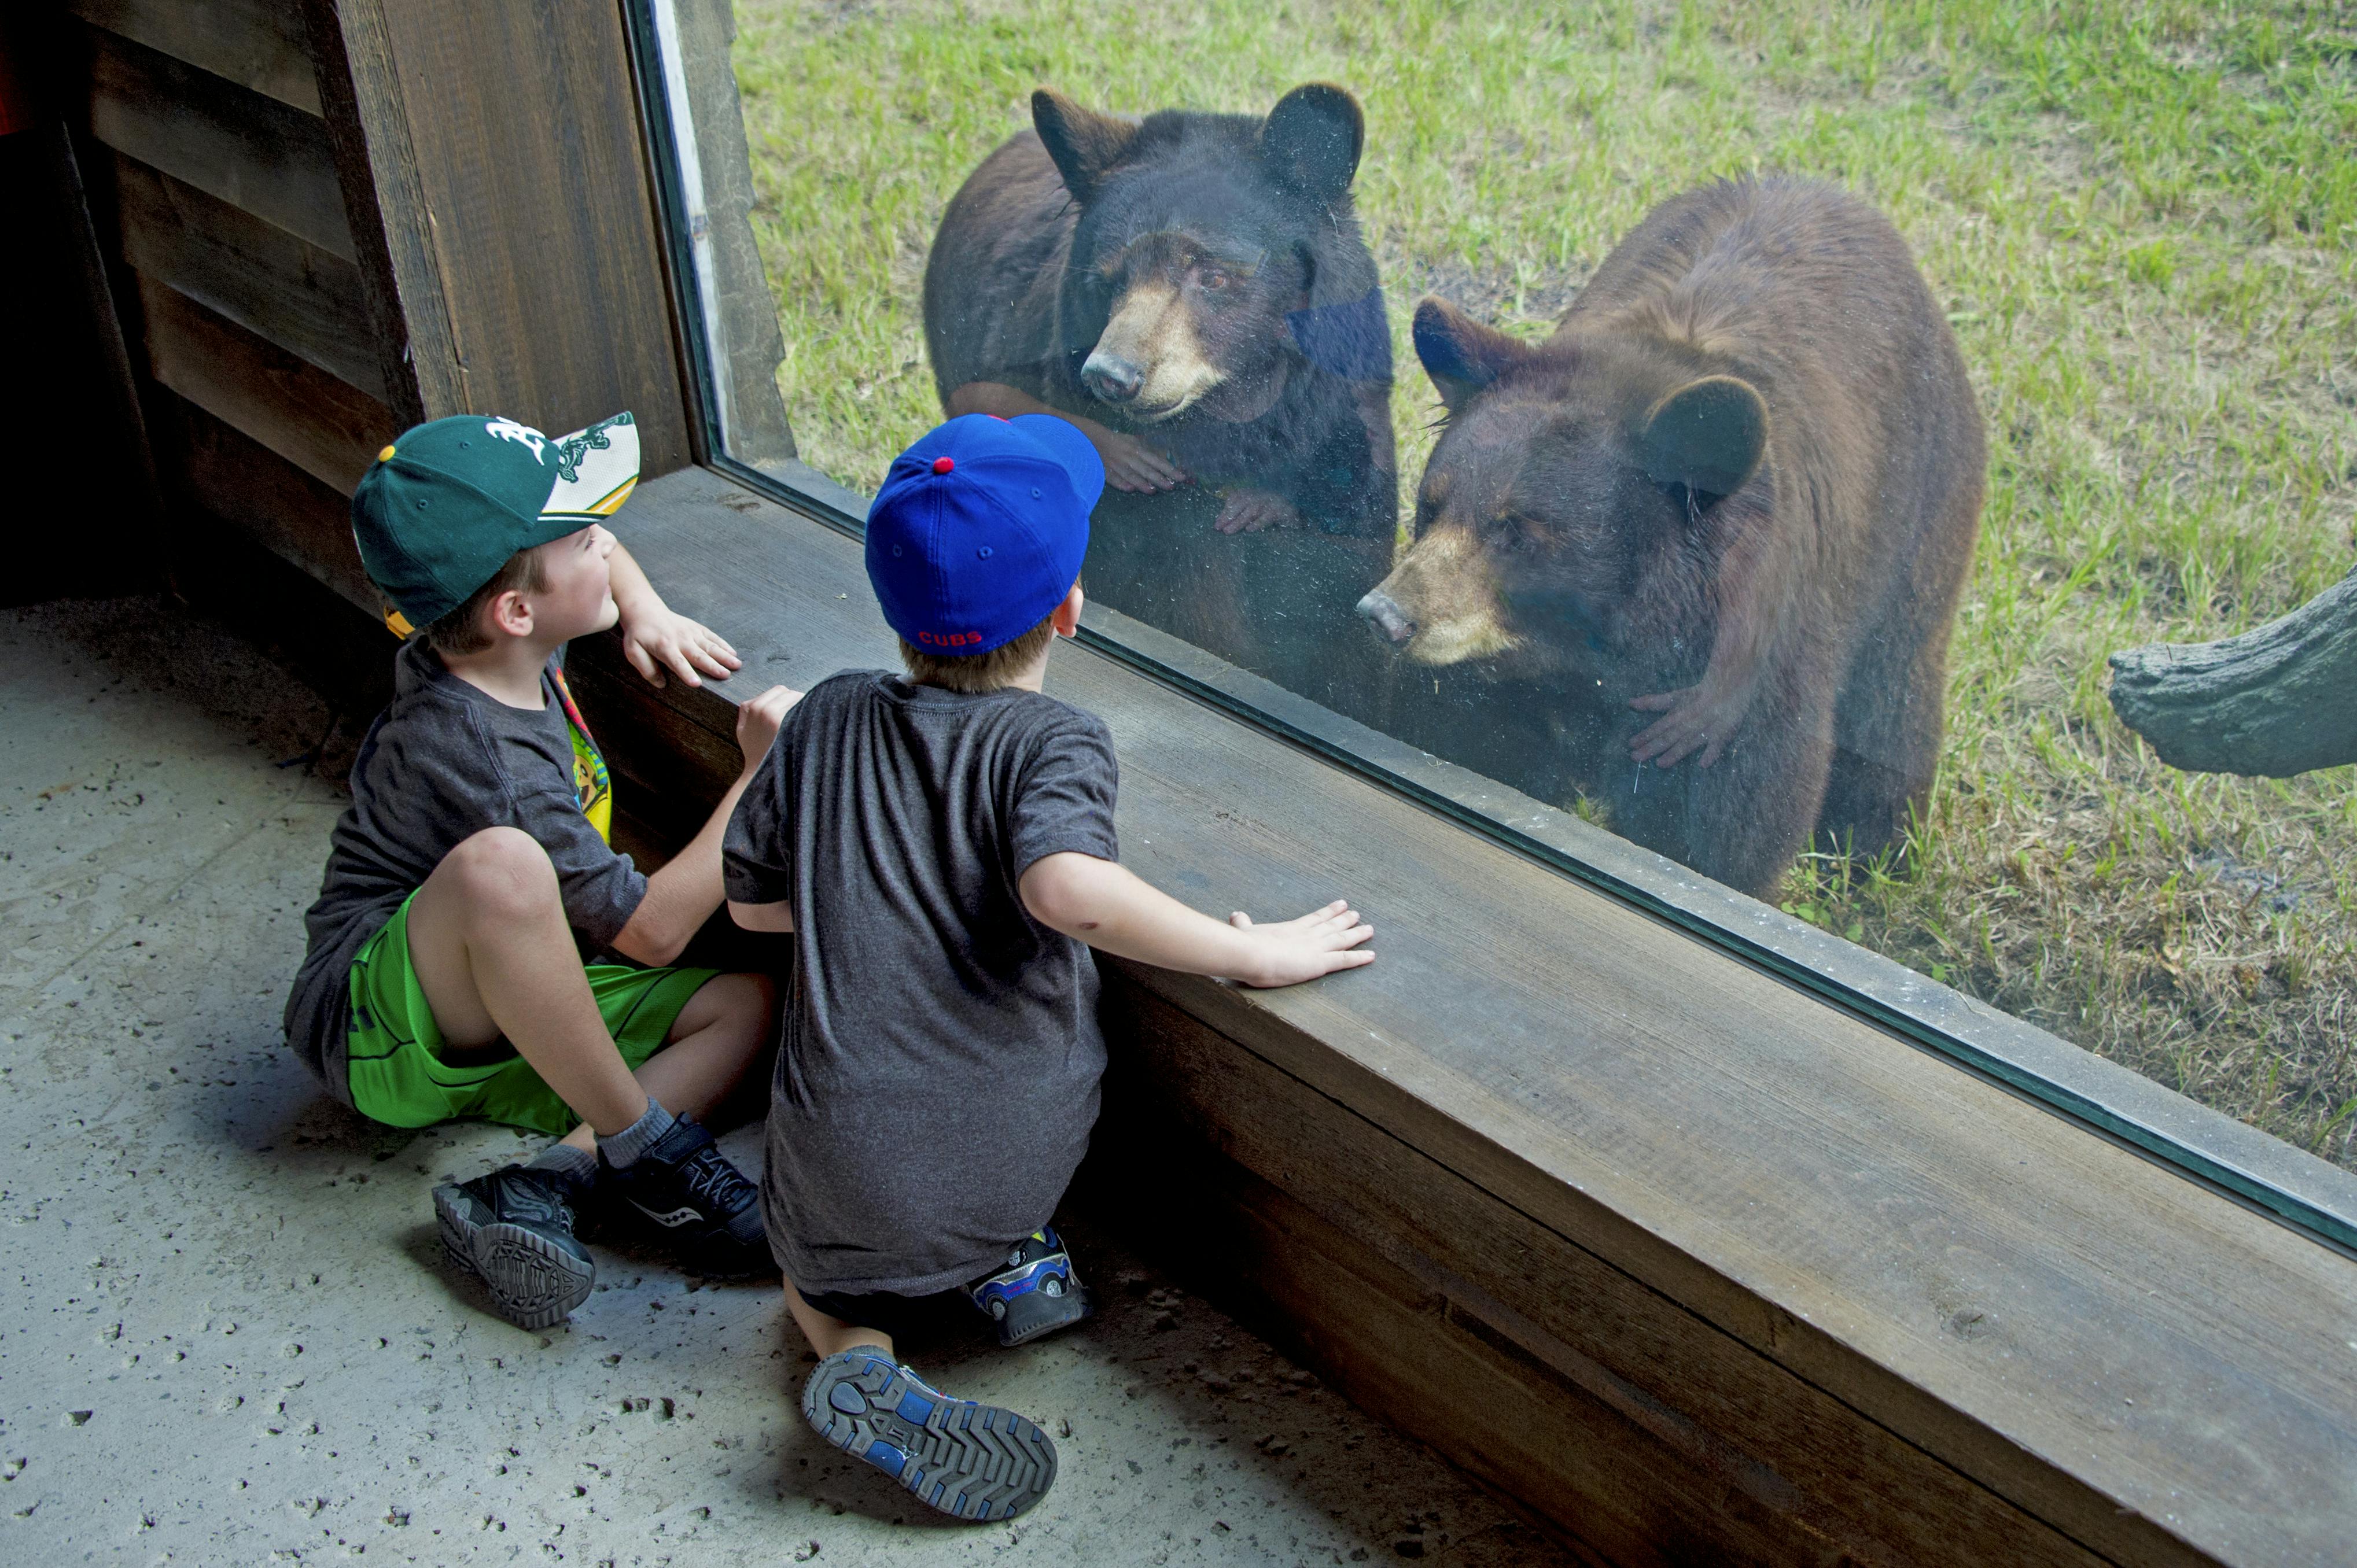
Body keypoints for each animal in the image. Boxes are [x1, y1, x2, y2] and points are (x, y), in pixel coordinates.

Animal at [1355, 177, 1986, 899]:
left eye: (1518, 532)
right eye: (1430, 507)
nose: (1387, 614)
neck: (1592, 663)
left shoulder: (1728, 683)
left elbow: (1722, 826)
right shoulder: (1498, 692)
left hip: (1920, 505)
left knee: (1898, 687)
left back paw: (1877, 851)